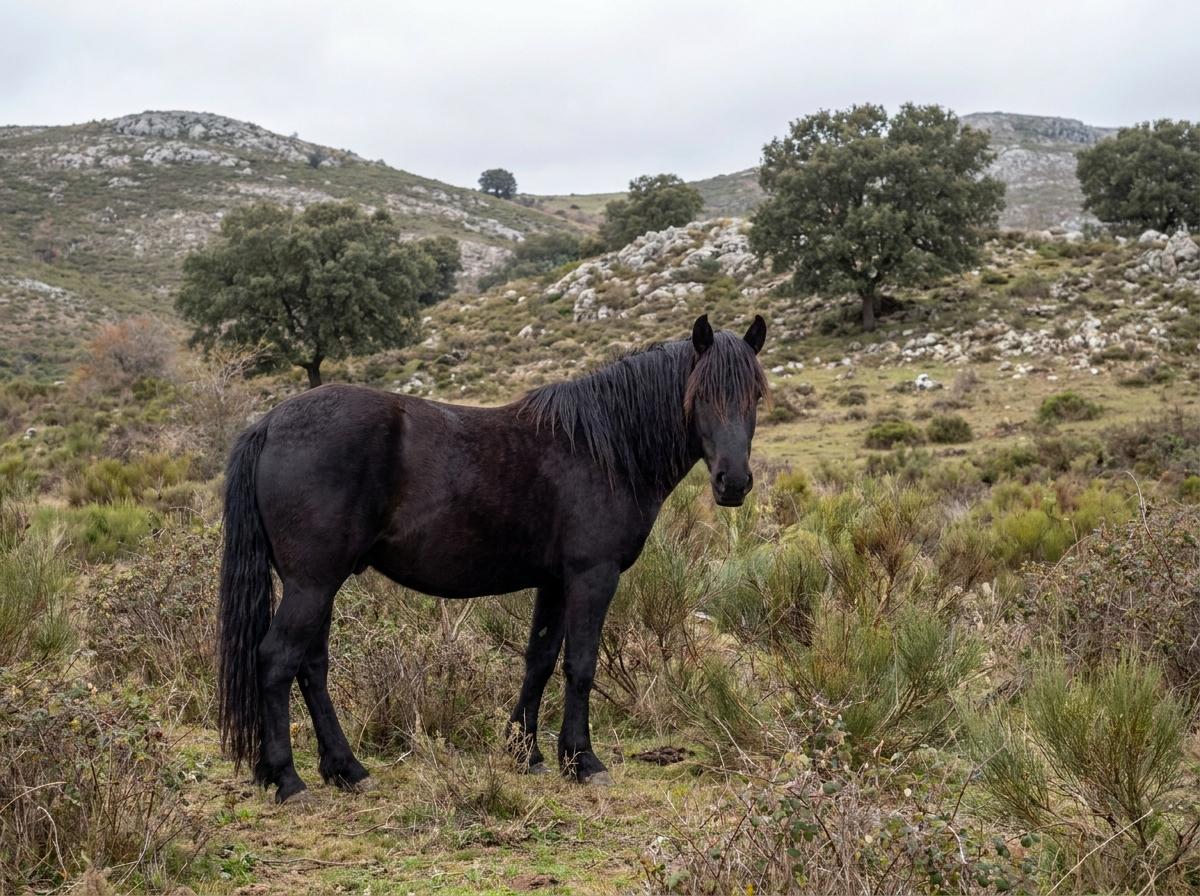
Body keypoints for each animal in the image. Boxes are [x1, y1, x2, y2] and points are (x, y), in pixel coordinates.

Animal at [217, 313, 768, 803]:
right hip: (312, 583)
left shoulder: (555, 581)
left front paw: (528, 753)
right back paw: (289, 781)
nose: (734, 483)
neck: (603, 449)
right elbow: (581, 665)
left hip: (320, 583)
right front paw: (583, 761)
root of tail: (270, 424)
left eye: (756, 395)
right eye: (701, 395)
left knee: (311, 666)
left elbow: (540, 659)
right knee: (277, 660)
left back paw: (347, 770)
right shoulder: (592, 576)